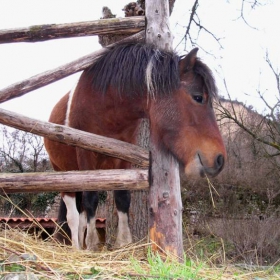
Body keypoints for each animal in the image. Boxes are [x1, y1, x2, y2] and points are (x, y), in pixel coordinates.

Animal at [44, 42, 226, 250]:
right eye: (198, 97)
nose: (220, 159)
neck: (104, 108)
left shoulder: (124, 153)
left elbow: (123, 197)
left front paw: (123, 243)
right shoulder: (85, 154)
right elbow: (91, 199)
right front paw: (92, 244)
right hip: (65, 175)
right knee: (73, 217)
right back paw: (77, 248)